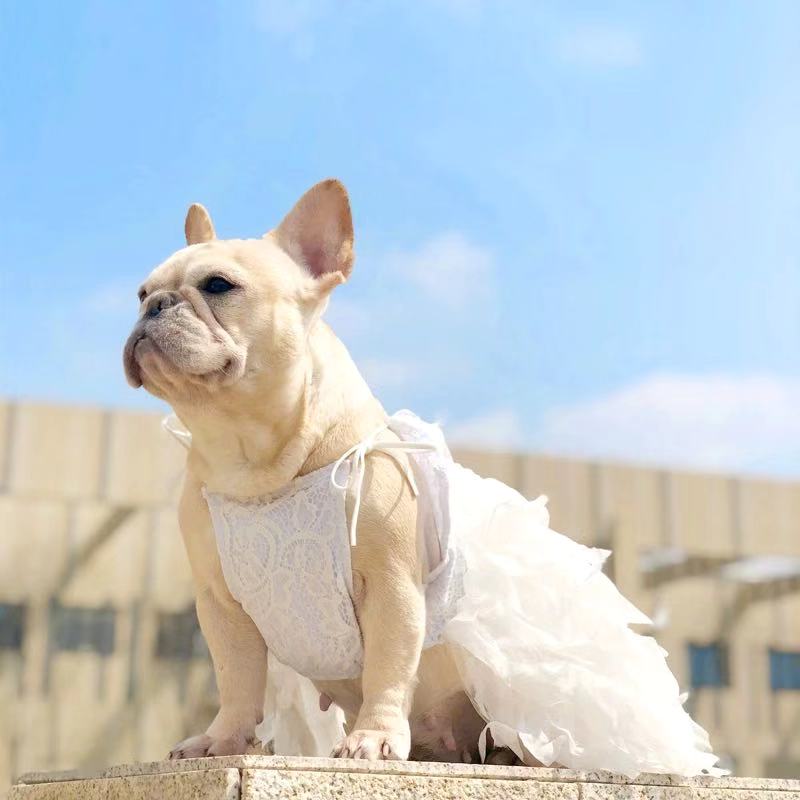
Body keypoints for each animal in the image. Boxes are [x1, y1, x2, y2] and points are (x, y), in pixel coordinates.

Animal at [123, 180, 488, 764]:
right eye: (141, 293)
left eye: (218, 285)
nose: (155, 306)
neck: (257, 462)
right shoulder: (221, 603)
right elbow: (236, 677)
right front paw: (222, 739)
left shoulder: (391, 585)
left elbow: (388, 665)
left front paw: (374, 737)